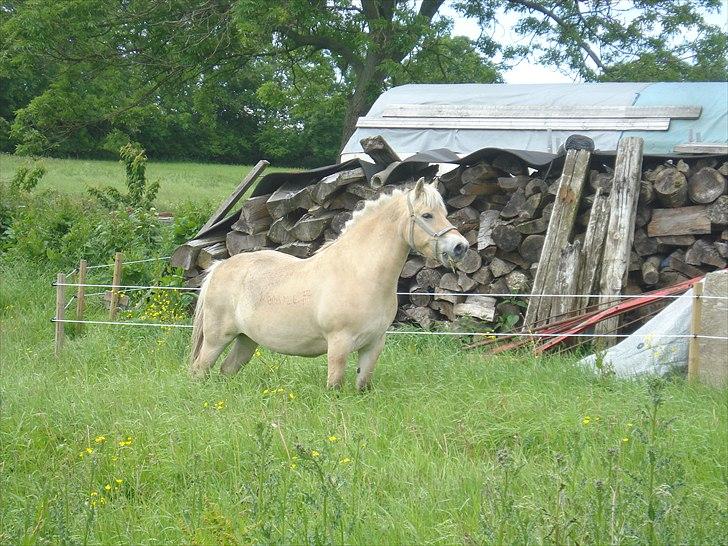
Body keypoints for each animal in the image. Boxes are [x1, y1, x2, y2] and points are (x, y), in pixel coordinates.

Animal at [188, 177, 470, 386]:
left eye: (444, 213)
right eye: (427, 215)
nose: (461, 247)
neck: (360, 273)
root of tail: (219, 267)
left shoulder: (373, 346)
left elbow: (362, 386)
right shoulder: (339, 345)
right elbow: (335, 386)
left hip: (246, 339)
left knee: (226, 370)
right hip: (216, 339)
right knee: (200, 370)